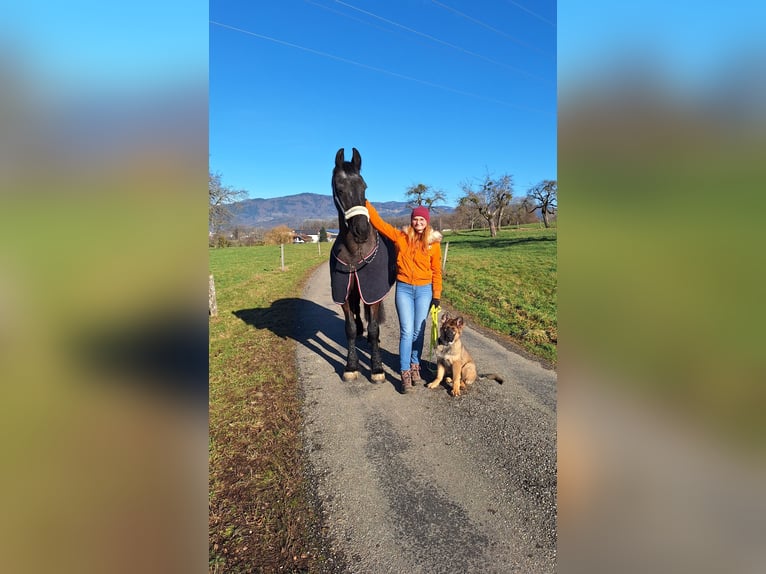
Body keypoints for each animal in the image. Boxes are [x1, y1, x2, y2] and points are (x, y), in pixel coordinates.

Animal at [328, 148, 392, 382]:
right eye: (339, 188)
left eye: (364, 187)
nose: (362, 230)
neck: (356, 251)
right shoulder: (345, 293)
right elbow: (350, 328)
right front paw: (351, 366)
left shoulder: (373, 292)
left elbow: (374, 328)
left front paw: (377, 368)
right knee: (357, 316)